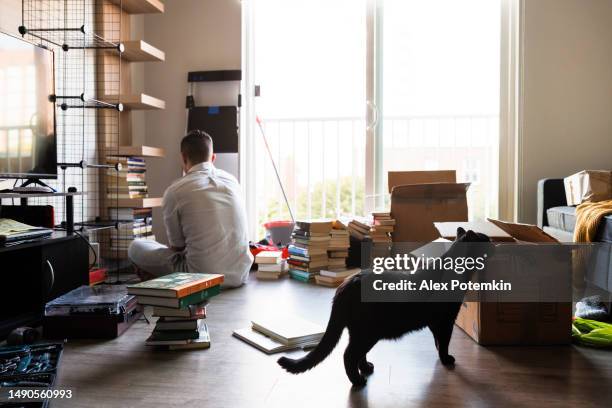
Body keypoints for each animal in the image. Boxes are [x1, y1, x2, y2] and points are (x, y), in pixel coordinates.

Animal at [278, 228, 492, 388]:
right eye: (486, 240)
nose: (495, 245)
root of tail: (345, 285)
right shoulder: (445, 321)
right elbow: (445, 342)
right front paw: (447, 359)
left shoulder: (435, 323)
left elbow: (439, 342)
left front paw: (442, 357)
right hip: (367, 332)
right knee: (349, 354)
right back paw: (358, 381)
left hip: (360, 332)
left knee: (357, 354)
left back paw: (366, 368)